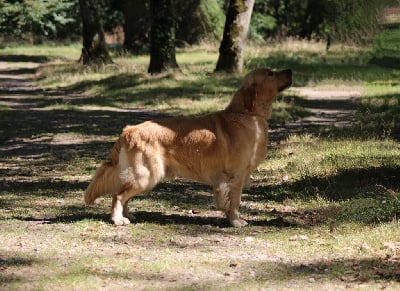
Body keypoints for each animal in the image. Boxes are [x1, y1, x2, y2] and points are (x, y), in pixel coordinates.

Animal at [85, 68, 290, 228]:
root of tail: (128, 130)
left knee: (123, 194)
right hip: (147, 175)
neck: (247, 114)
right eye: (270, 73)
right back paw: (118, 219)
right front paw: (235, 221)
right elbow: (235, 201)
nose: (291, 72)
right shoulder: (235, 175)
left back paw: (128, 215)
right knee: (118, 195)